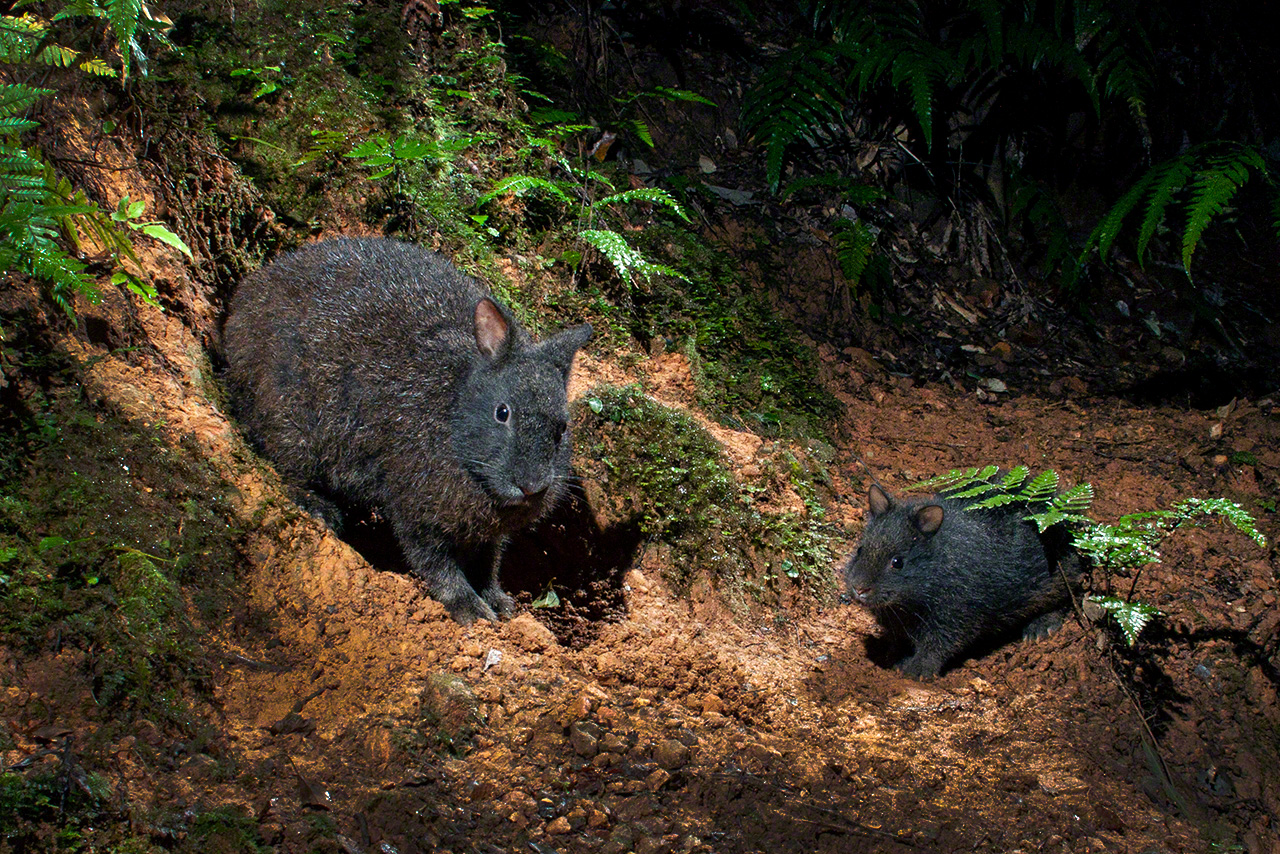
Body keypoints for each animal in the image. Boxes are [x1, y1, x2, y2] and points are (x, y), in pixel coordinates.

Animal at [222, 236, 591, 624]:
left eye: (561, 429)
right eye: (502, 413)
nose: (532, 486)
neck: (454, 414)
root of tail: (250, 292)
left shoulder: (487, 535)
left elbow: (488, 563)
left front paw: (499, 601)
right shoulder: (415, 512)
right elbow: (437, 565)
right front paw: (470, 608)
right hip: (288, 418)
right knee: (281, 462)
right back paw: (319, 507)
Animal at [844, 483, 1075, 676]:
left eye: (898, 562)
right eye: (860, 550)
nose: (859, 589)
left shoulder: (954, 618)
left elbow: (935, 648)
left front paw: (917, 671)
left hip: (1056, 581)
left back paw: (1041, 627)